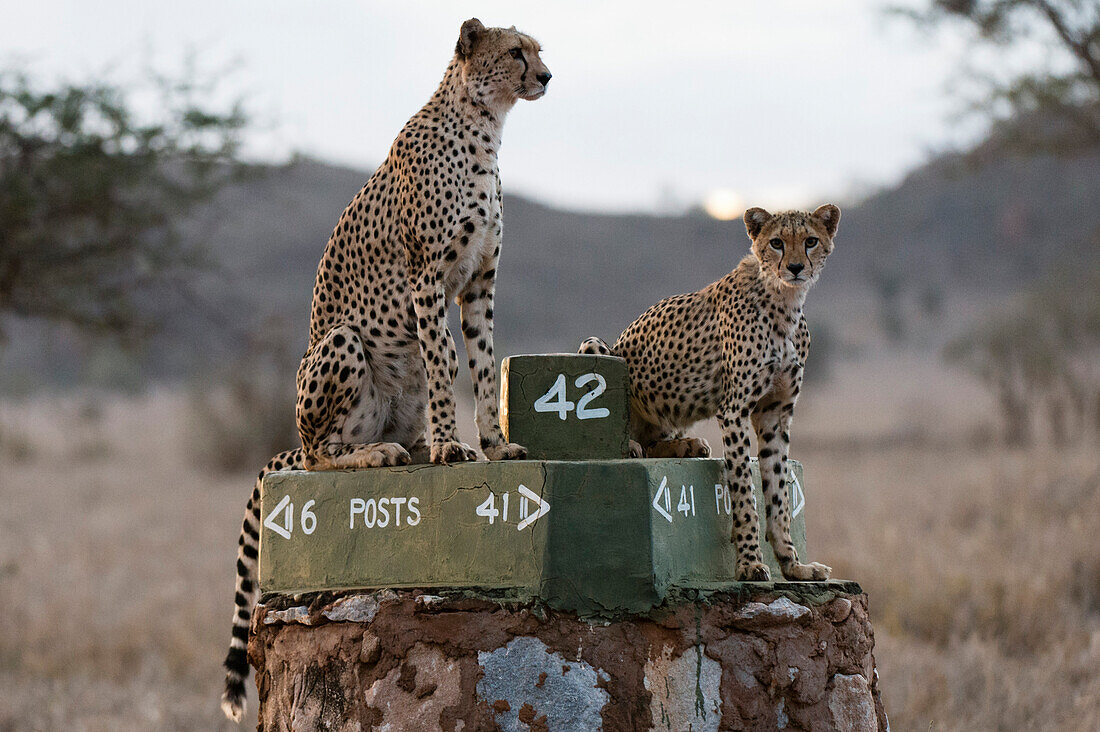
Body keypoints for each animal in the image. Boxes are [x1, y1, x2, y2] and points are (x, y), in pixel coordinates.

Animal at [222, 19, 550, 722]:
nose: (547, 76)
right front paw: (456, 449)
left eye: (538, 50)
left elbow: (483, 367)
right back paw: (379, 454)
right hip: (342, 346)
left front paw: (493, 445)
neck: (484, 126)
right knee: (319, 456)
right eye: (515, 52)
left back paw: (416, 444)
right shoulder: (428, 280)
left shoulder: (478, 284)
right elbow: (447, 362)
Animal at [580, 203, 836, 581]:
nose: (794, 267)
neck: (784, 302)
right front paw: (750, 562)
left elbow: (778, 494)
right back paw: (631, 445)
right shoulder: (734, 411)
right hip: (598, 348)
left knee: (657, 441)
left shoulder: (775, 414)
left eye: (810, 241)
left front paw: (793, 565)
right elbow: (744, 492)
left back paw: (687, 445)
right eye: (776, 242)